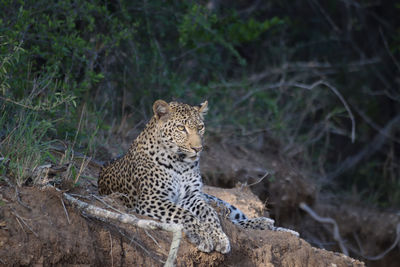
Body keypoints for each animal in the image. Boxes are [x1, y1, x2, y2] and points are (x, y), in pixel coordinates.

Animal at [97, 99, 296, 254]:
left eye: (200, 127)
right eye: (181, 128)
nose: (198, 148)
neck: (179, 163)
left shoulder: (192, 196)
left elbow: (209, 214)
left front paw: (219, 237)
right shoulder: (152, 199)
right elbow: (184, 214)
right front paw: (203, 237)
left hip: (218, 199)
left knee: (233, 217)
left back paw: (275, 226)